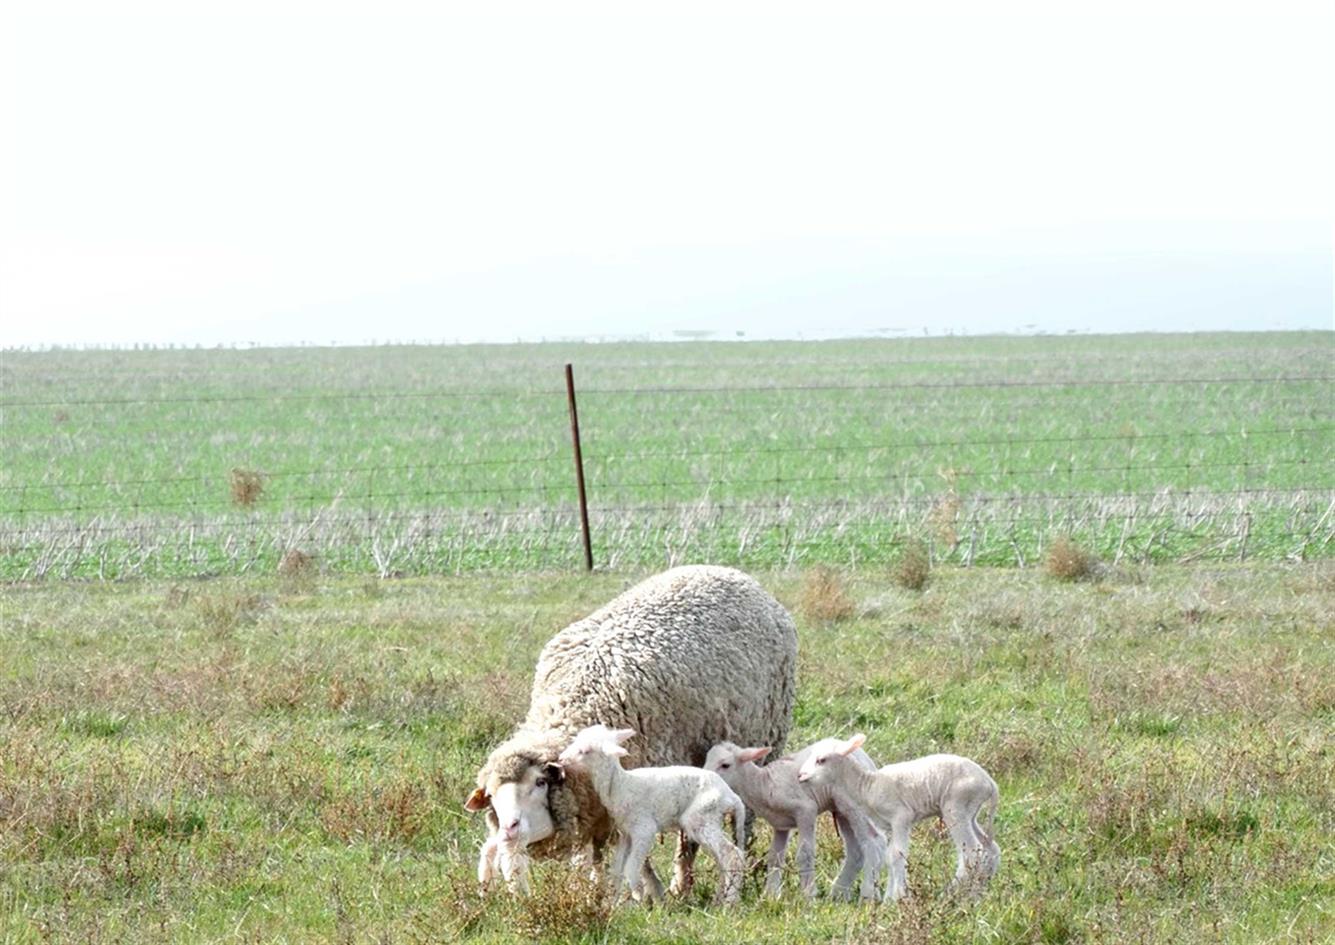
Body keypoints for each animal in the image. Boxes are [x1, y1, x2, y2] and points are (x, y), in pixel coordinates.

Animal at [555, 726, 752, 902]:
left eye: (585, 751)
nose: (561, 758)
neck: (619, 786)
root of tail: (732, 796)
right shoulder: (626, 834)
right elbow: (617, 870)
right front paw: (612, 904)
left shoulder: (644, 828)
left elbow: (631, 868)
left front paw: (639, 900)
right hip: (710, 820)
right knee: (723, 859)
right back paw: (719, 899)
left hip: (701, 817)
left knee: (732, 856)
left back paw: (729, 903)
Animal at [699, 736, 886, 902]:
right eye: (706, 760)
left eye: (725, 765)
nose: (705, 778)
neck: (763, 785)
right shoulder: (780, 825)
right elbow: (774, 857)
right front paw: (770, 896)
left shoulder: (805, 810)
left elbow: (805, 853)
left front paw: (808, 896)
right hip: (840, 808)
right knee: (856, 851)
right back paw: (838, 893)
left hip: (853, 802)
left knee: (874, 841)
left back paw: (868, 895)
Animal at [790, 731, 1003, 902]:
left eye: (821, 760)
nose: (800, 776)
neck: (867, 786)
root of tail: (990, 783)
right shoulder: (889, 824)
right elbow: (889, 856)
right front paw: (889, 897)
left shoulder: (901, 816)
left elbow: (896, 854)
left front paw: (896, 897)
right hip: (969, 811)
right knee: (990, 848)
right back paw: (978, 892)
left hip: (956, 806)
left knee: (971, 852)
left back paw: (951, 894)